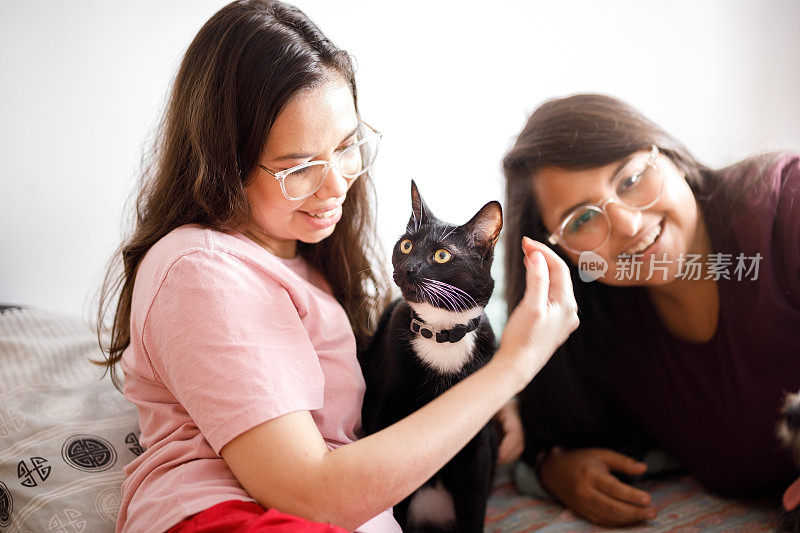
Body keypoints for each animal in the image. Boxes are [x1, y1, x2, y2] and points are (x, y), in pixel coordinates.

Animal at [360, 180, 500, 532]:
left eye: (442, 255)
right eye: (406, 245)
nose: (409, 267)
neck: (441, 334)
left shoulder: (476, 445)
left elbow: (474, 506)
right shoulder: (382, 413)